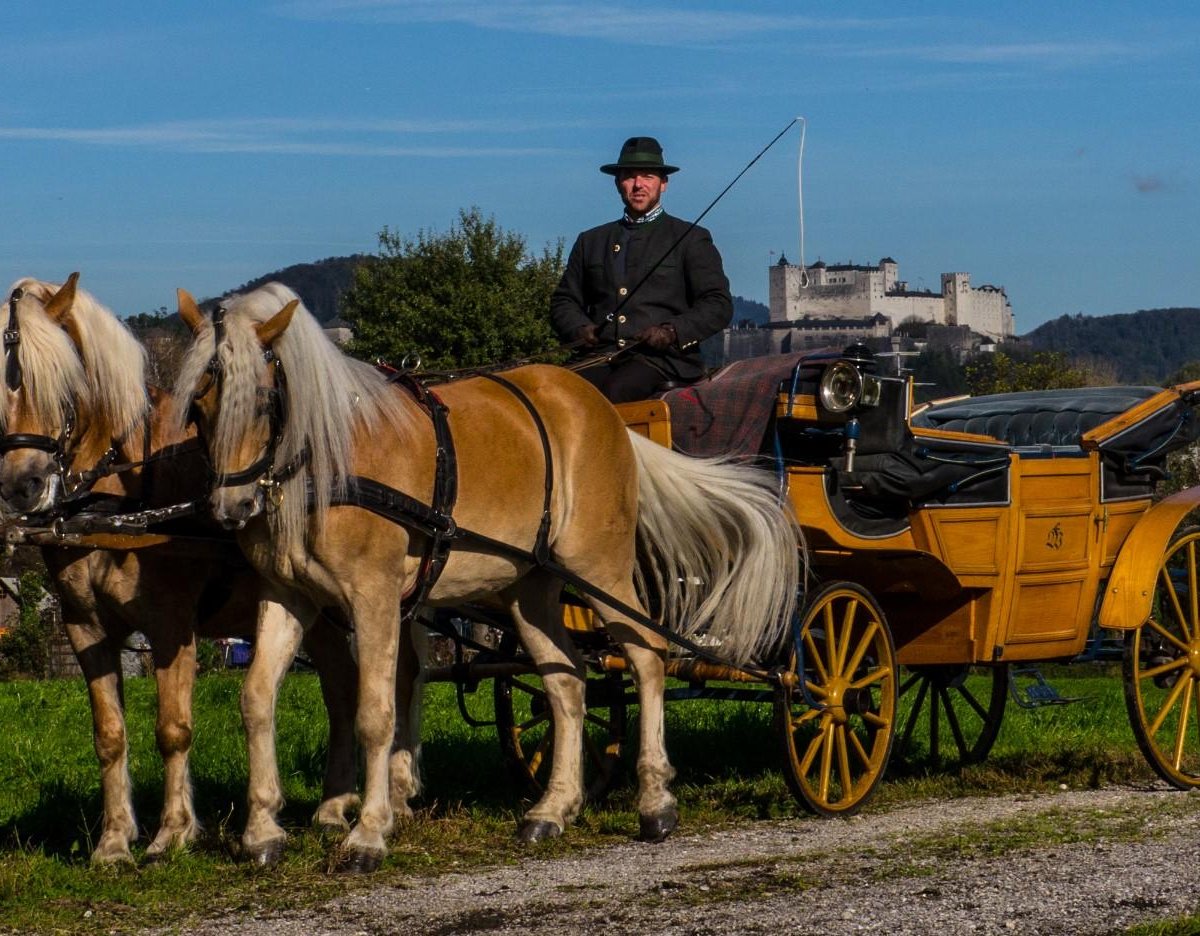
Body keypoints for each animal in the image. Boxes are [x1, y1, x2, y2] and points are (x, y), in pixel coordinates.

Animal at [0, 276, 357, 864]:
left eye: (61, 376)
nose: (21, 486)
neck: (118, 498)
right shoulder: (84, 626)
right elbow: (109, 734)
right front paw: (114, 841)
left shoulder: (170, 626)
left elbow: (172, 728)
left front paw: (172, 833)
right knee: (341, 688)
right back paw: (332, 807)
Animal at [175, 283, 796, 868]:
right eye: (197, 407)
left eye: (263, 400)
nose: (231, 509)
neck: (329, 461)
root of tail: (606, 414)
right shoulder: (287, 598)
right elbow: (257, 698)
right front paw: (261, 832)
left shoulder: (374, 598)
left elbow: (375, 713)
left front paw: (368, 833)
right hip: (531, 589)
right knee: (568, 680)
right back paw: (552, 808)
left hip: (601, 569)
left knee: (646, 657)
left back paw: (655, 802)